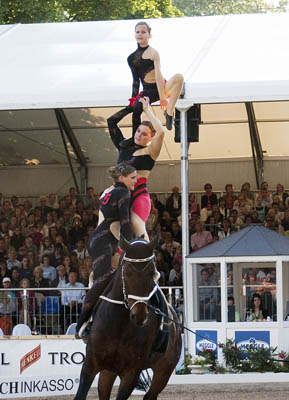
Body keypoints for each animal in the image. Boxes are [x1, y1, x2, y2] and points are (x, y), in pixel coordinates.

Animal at [74, 236, 181, 400]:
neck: (119, 324)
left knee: (150, 395)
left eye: (152, 272)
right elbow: (80, 394)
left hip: (163, 372)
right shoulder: (90, 364)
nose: (139, 315)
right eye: (127, 271)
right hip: (108, 371)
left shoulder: (132, 373)